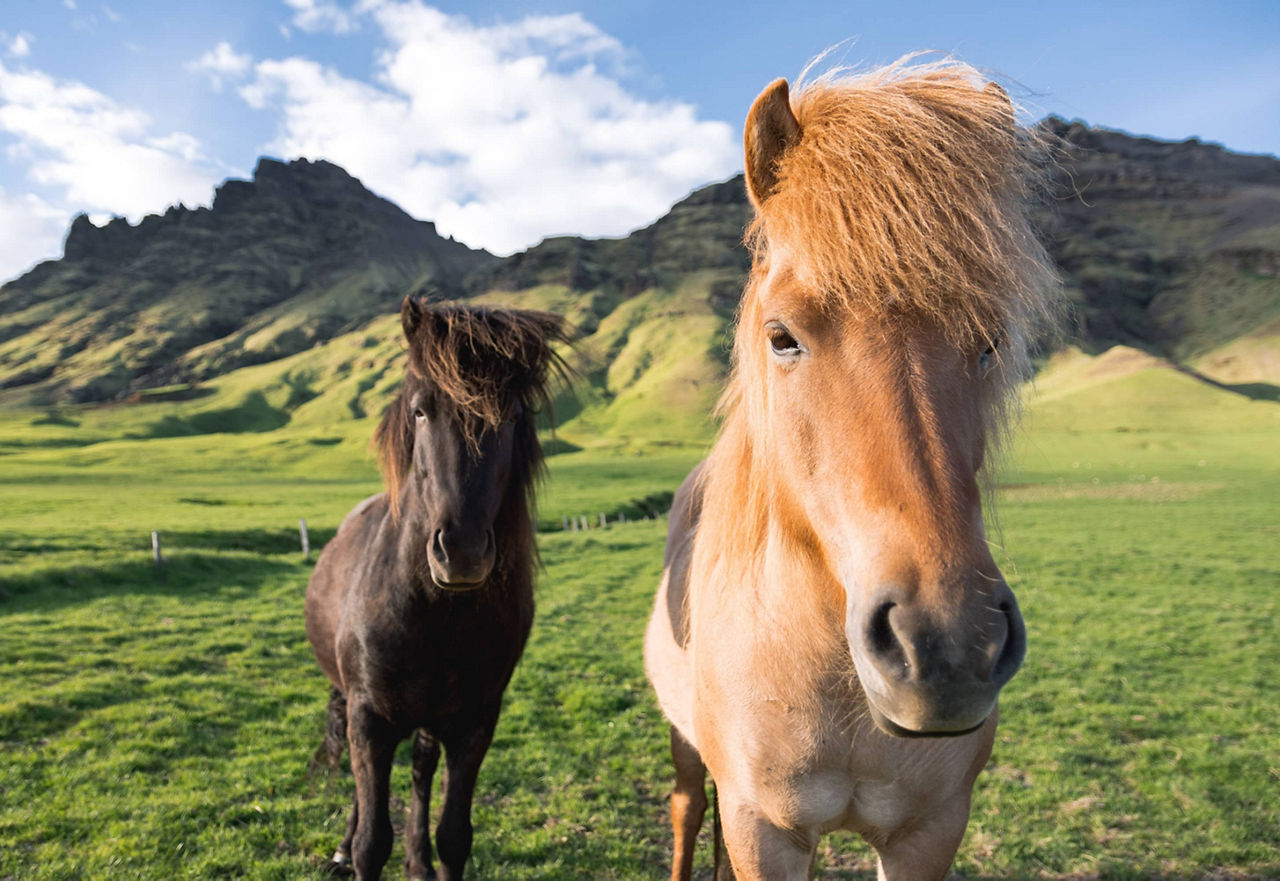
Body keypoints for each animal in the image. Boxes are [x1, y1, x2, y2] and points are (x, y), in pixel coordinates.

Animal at [307, 297, 568, 881]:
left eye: (513, 416)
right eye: (422, 410)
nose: (463, 552)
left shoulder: (475, 723)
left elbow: (453, 837)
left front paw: (426, 856)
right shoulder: (369, 719)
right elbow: (371, 842)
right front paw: (354, 847)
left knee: (422, 772)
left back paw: (417, 861)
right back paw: (341, 845)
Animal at [645, 58, 1054, 875]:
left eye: (990, 340)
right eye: (782, 336)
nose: (947, 647)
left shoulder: (930, 830)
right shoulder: (762, 829)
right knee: (684, 808)